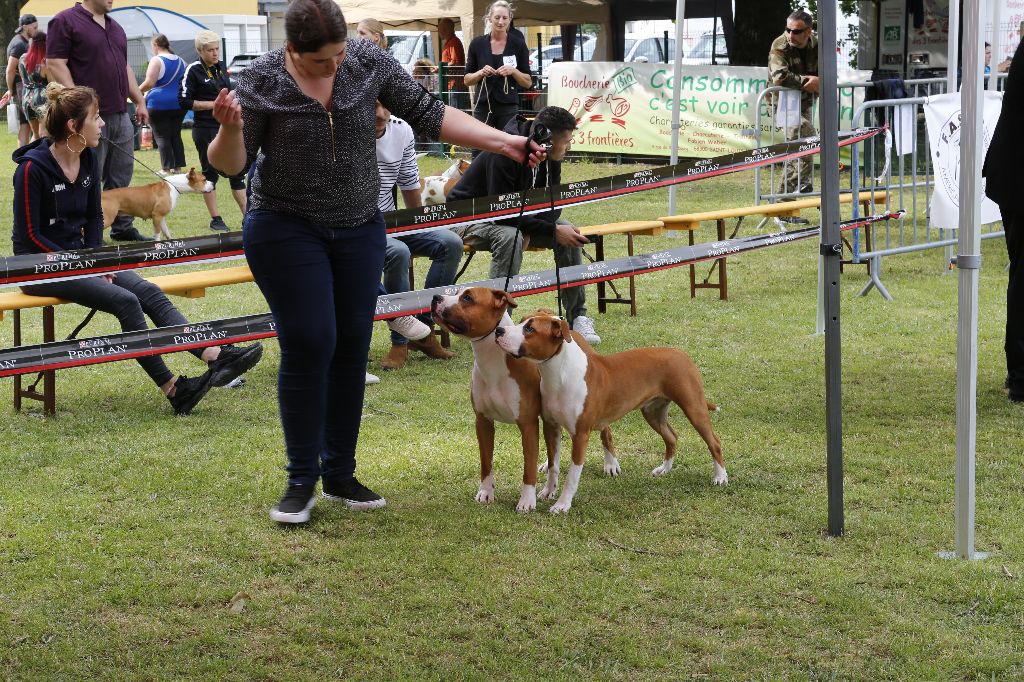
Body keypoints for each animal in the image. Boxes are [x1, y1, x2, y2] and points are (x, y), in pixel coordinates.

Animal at [430, 286, 565, 509]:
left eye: (468, 298)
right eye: (455, 292)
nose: (435, 297)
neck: (493, 362)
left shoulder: (528, 424)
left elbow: (528, 466)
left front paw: (527, 500)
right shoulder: (483, 421)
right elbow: (486, 461)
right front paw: (486, 492)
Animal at [495, 311, 729, 509]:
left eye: (530, 329)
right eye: (521, 321)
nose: (499, 330)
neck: (559, 373)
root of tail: (681, 354)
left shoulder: (580, 435)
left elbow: (572, 476)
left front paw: (562, 505)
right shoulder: (551, 427)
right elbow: (553, 466)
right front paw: (547, 491)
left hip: (693, 408)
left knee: (714, 442)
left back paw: (720, 477)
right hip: (653, 412)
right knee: (671, 437)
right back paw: (664, 469)